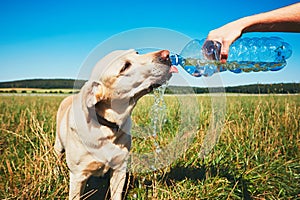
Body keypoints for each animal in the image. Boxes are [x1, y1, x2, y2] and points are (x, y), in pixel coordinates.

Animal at [54, 49, 176, 199]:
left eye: (137, 52)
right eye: (125, 67)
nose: (166, 54)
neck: (108, 127)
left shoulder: (119, 169)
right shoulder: (78, 175)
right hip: (58, 145)